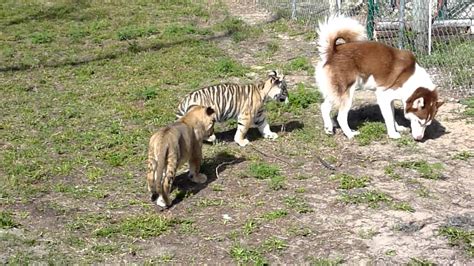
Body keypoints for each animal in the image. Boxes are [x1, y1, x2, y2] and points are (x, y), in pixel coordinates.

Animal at [314, 15, 444, 140]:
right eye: (419, 121)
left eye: (427, 124)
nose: (419, 138)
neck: (411, 80)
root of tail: (333, 51)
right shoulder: (383, 97)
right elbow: (389, 118)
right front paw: (393, 134)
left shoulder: (390, 99)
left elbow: (392, 115)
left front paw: (398, 128)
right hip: (347, 93)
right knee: (341, 117)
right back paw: (350, 134)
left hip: (336, 92)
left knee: (324, 107)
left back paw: (329, 128)